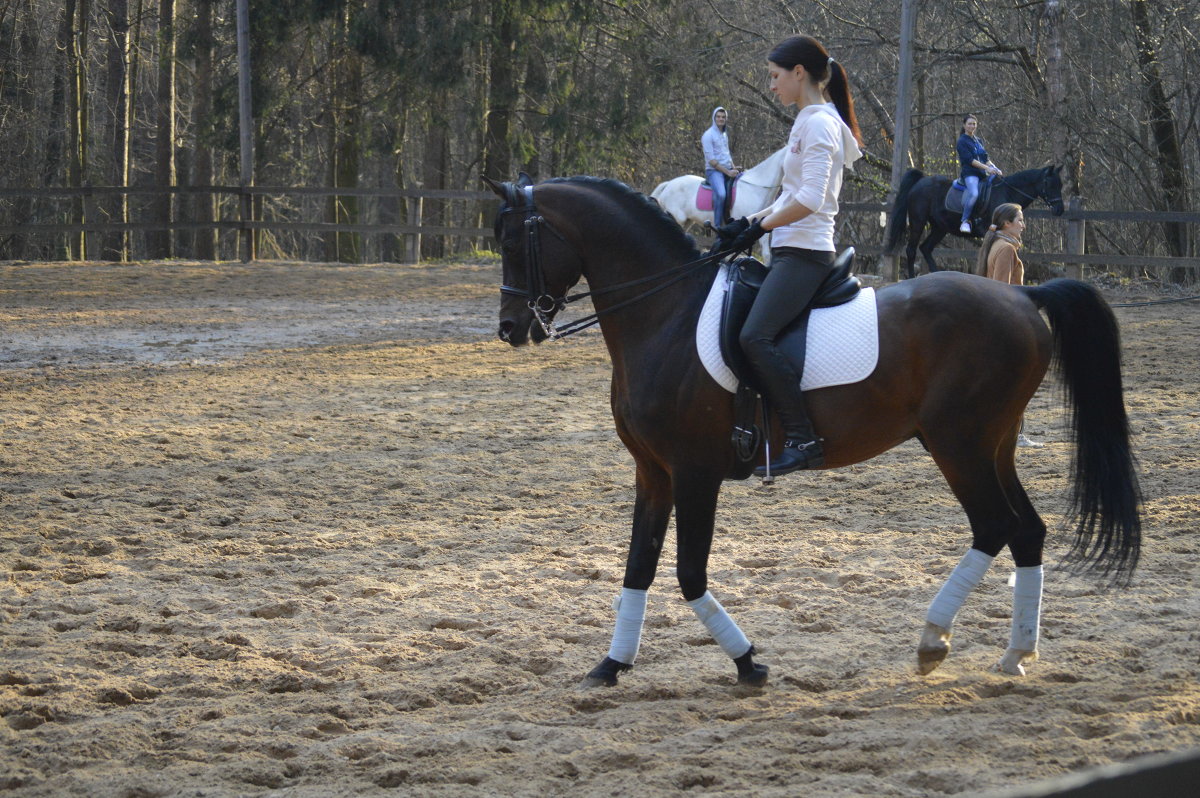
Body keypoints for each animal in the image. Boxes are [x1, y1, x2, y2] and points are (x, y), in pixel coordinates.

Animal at [883, 166, 1070, 278]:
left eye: (1060, 184)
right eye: (1048, 183)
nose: (1059, 209)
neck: (1007, 192)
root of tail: (920, 181)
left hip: (940, 228)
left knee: (926, 248)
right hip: (918, 222)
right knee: (912, 250)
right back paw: (913, 277)